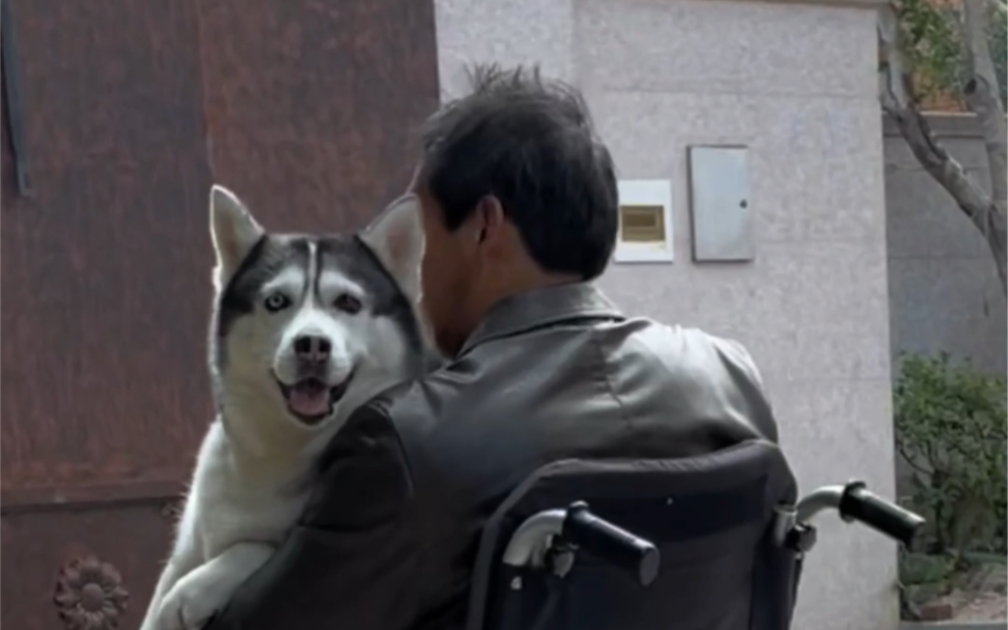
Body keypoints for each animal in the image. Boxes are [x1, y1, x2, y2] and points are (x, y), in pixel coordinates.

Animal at [138, 185, 433, 630]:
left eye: (348, 303)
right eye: (277, 301)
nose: (311, 344)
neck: (275, 452)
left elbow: (257, 547)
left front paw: (193, 592)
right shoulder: (188, 544)